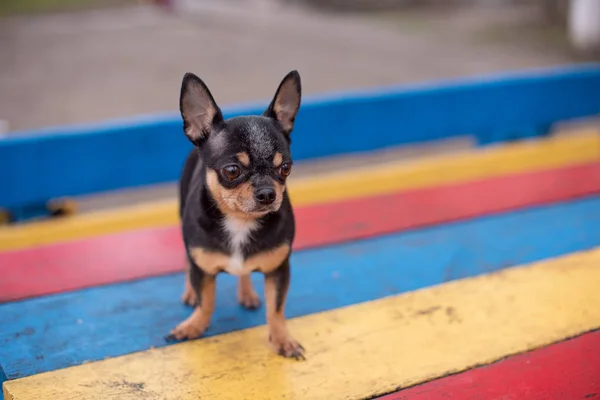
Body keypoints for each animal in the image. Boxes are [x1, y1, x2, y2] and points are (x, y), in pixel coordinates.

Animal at [165, 69, 302, 360]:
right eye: (231, 171)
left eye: (285, 168)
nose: (267, 193)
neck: (240, 222)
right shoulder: (202, 265)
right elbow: (206, 300)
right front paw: (194, 326)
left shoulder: (278, 269)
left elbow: (276, 308)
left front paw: (282, 339)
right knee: (187, 262)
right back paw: (189, 293)